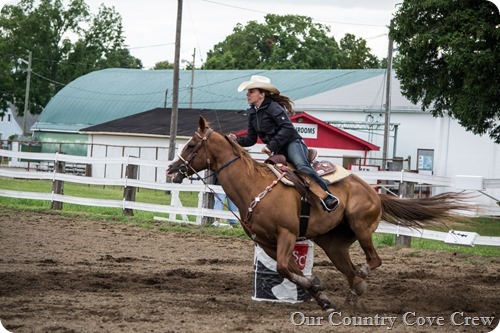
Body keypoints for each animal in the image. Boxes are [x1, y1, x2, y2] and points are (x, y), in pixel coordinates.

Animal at [168, 116, 472, 312]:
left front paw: (316, 288)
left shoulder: (287, 234)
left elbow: (284, 267)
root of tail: (374, 192)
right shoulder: (265, 242)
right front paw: (319, 293)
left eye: (192, 145)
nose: (171, 169)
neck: (253, 185)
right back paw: (355, 292)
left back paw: (360, 280)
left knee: (372, 261)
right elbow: (290, 268)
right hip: (334, 244)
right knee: (350, 270)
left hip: (361, 226)